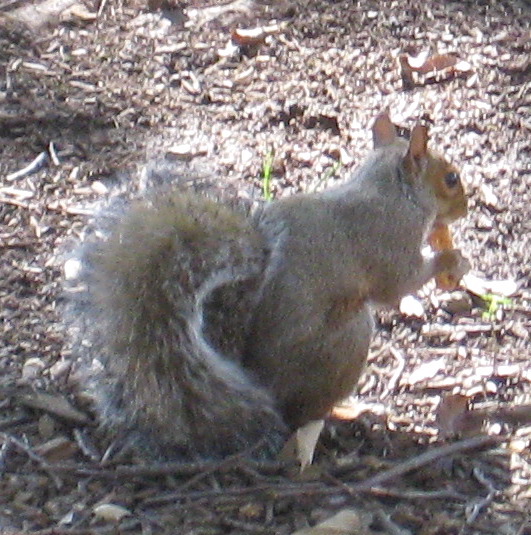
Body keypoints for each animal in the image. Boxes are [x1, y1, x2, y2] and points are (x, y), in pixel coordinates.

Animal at [68, 112, 472, 460]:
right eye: (451, 178)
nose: (466, 210)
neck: (392, 190)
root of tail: (261, 383)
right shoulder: (389, 242)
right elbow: (397, 285)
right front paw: (450, 260)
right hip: (347, 341)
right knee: (306, 413)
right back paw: (345, 413)